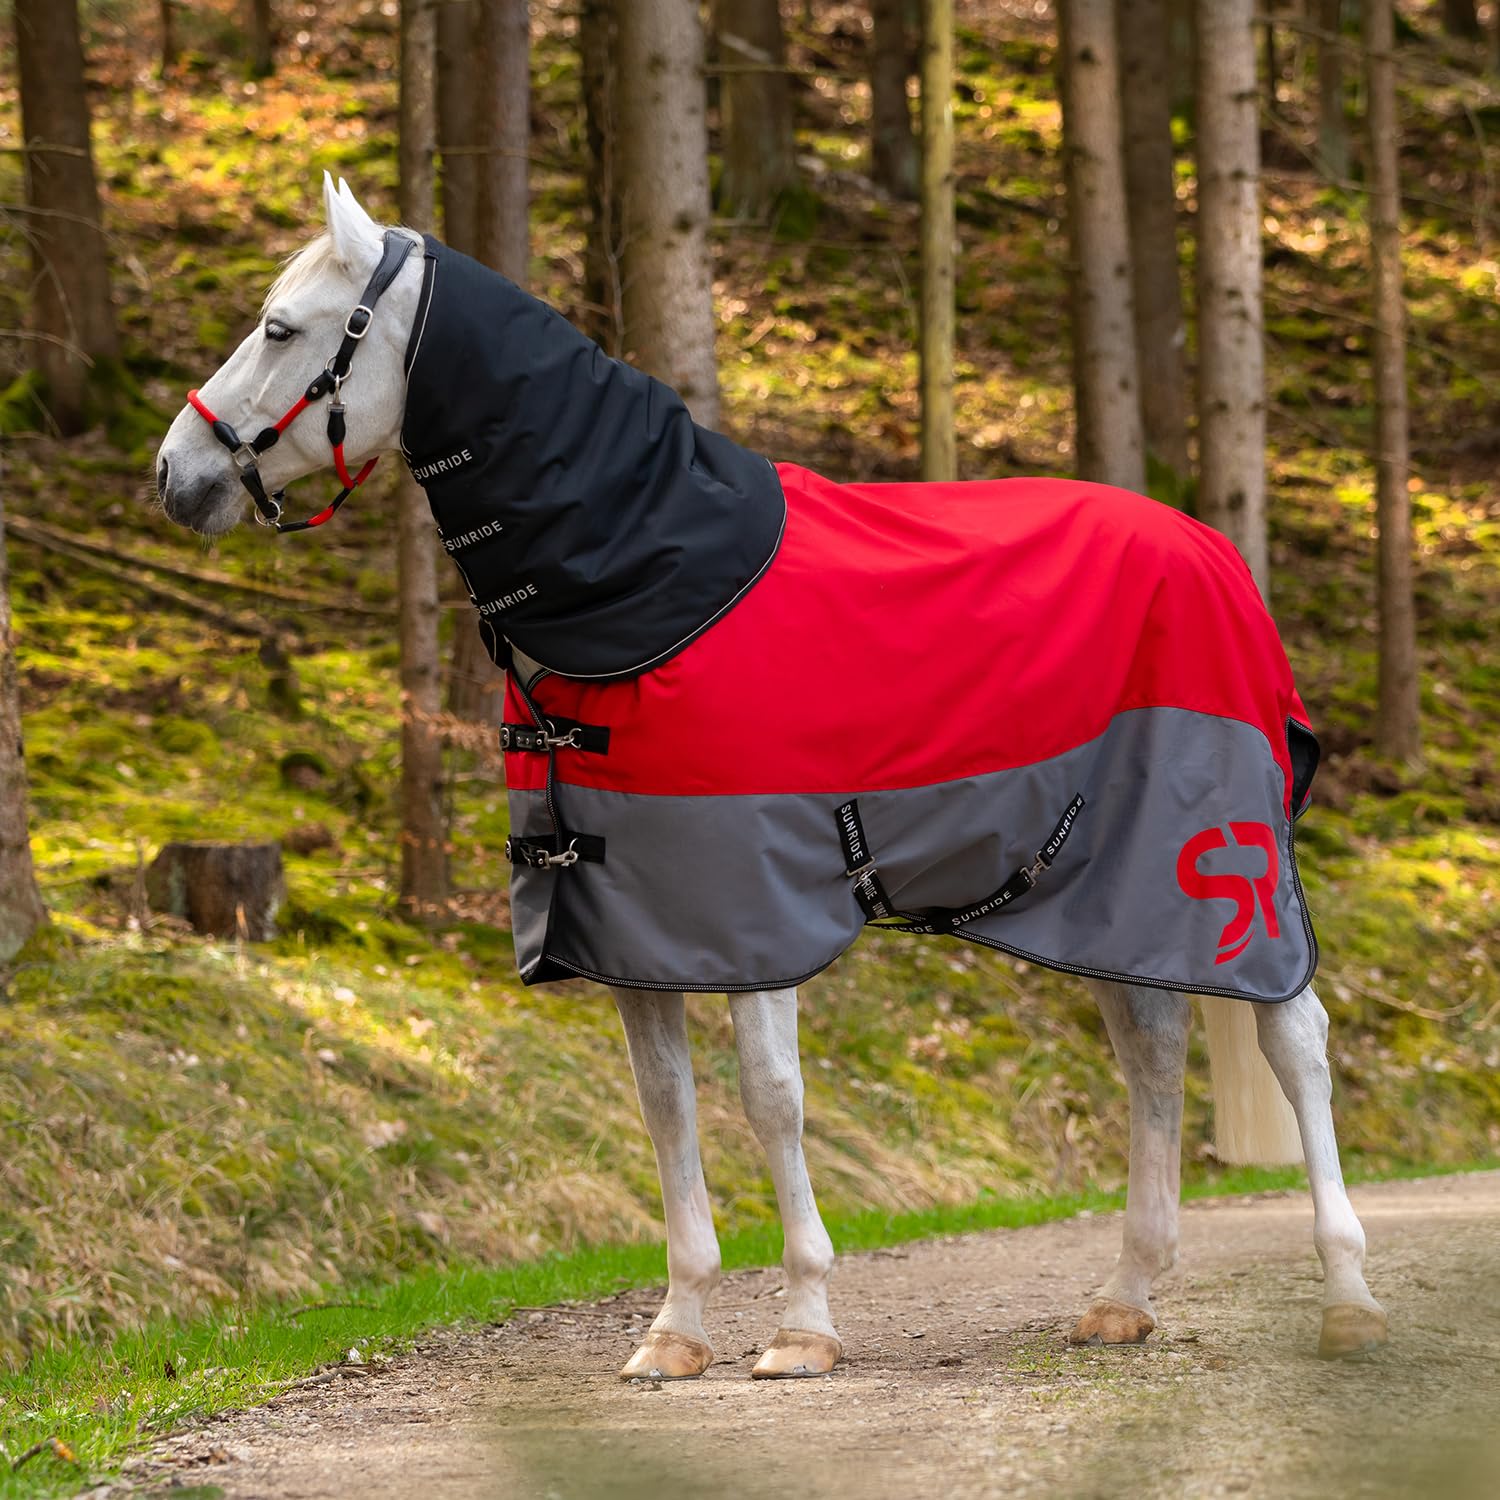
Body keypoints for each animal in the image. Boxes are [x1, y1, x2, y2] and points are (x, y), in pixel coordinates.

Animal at [154, 174, 1387, 1380]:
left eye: (281, 327)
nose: (177, 473)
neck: (652, 588)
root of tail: (1214, 550)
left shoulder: (759, 912)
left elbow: (771, 1101)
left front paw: (801, 1323)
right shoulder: (631, 926)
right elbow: (666, 1107)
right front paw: (677, 1328)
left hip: (1223, 867)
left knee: (1295, 1042)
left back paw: (1347, 1299)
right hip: (1105, 893)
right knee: (1153, 1052)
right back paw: (1126, 1298)